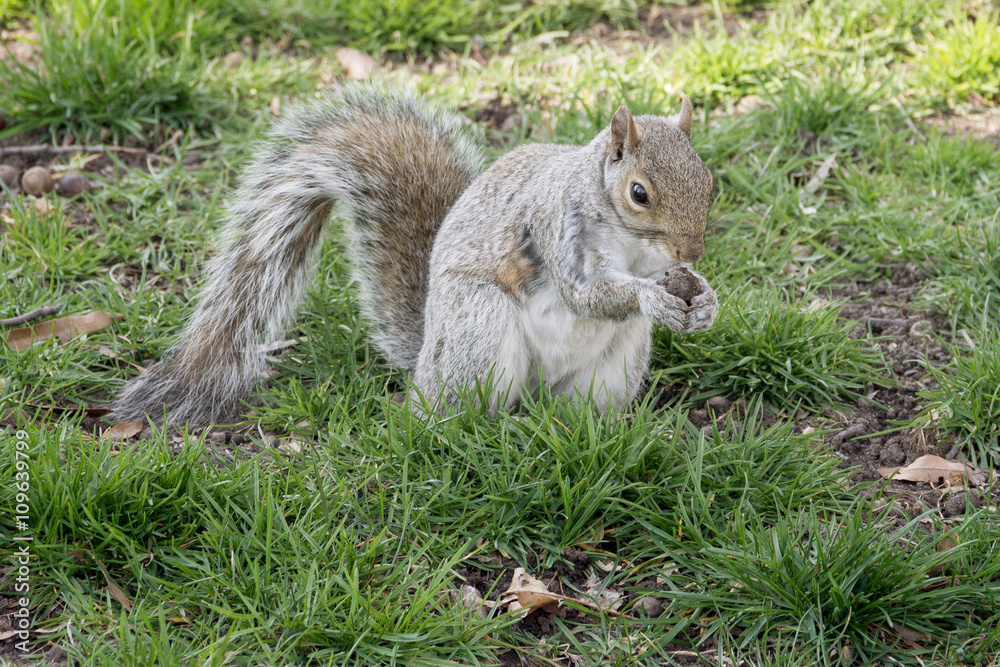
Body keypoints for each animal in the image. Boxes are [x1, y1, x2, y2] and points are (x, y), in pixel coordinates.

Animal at [113, 82, 718, 426]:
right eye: (639, 193)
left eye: (710, 182)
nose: (693, 247)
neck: (630, 242)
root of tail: (425, 358)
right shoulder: (555, 225)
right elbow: (585, 294)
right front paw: (651, 298)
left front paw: (704, 299)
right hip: (477, 325)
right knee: (458, 414)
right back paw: (491, 428)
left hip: (613, 366)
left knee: (573, 413)